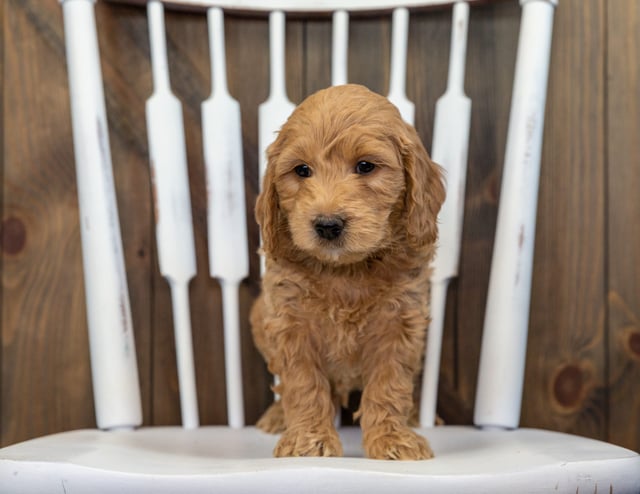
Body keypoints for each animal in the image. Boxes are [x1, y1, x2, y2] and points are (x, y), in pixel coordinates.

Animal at [250, 84, 444, 460]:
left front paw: (393, 439)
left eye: (365, 166)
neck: (346, 271)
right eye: (302, 170)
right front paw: (309, 440)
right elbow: (302, 384)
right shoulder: (290, 322)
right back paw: (277, 416)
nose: (327, 225)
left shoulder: (401, 323)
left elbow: (390, 384)